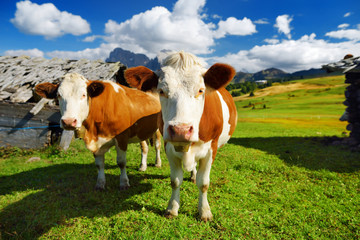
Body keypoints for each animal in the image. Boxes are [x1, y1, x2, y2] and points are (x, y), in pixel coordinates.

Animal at [125, 50, 238, 221]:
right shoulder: (169, 148)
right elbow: (175, 181)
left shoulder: (211, 149)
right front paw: (172, 208)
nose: (181, 130)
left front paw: (204, 211)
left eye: (200, 90)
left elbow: (204, 183)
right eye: (161, 91)